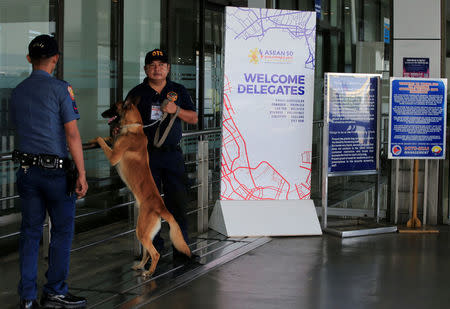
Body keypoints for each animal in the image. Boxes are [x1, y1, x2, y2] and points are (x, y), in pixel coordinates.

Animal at [10, 34, 89, 308]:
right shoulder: (66, 93)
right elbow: (73, 133)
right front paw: (58, 292)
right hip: (58, 194)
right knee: (62, 232)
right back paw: (58, 293)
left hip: (29, 191)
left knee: (30, 235)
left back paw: (28, 298)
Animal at [96, 97, 191, 276]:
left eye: (113, 107)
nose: (102, 113)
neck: (134, 127)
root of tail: (162, 208)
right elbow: (109, 139)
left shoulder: (113, 156)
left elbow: (102, 141)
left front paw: (97, 138)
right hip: (145, 232)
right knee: (147, 252)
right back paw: (141, 266)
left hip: (141, 231)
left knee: (155, 253)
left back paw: (149, 272)